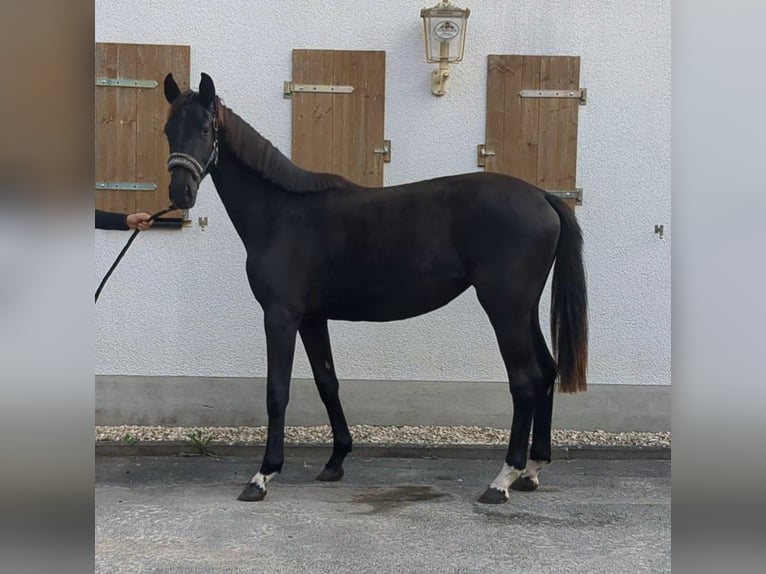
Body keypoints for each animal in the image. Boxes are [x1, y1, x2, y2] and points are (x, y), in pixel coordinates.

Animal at [162, 72, 588, 504]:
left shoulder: (280, 316)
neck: (281, 213)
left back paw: (502, 479)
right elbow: (327, 383)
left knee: (525, 380)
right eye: (167, 130)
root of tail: (542, 197)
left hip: (504, 309)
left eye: (205, 129)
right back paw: (531, 470)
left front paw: (263, 475)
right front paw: (336, 460)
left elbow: (276, 391)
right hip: (523, 309)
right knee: (546, 371)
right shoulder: (312, 318)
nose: (180, 193)